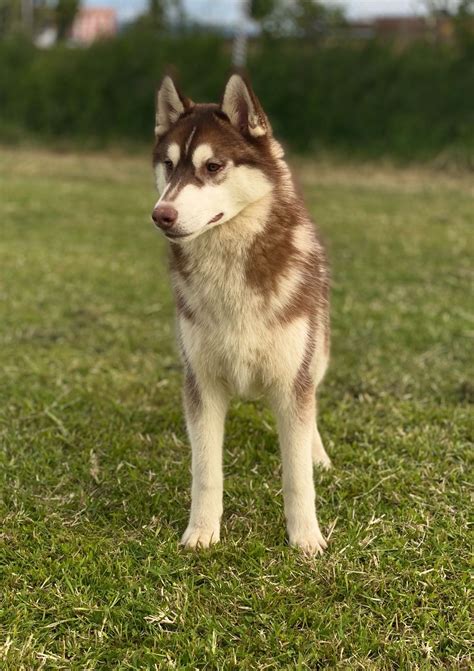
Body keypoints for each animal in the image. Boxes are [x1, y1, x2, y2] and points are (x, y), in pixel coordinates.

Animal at [151, 75, 330, 556]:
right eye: (169, 166)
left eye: (213, 166)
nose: (161, 215)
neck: (230, 263)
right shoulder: (202, 383)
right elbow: (206, 471)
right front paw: (201, 532)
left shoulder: (292, 379)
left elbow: (297, 476)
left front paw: (306, 538)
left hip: (317, 353)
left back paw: (319, 454)